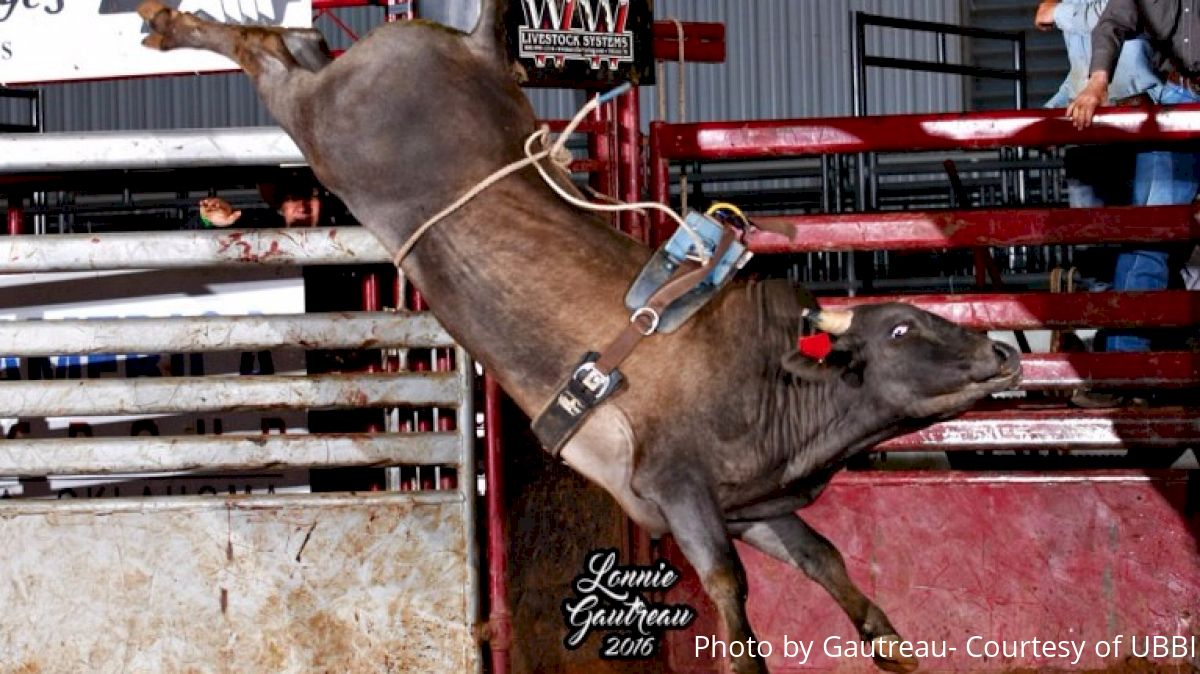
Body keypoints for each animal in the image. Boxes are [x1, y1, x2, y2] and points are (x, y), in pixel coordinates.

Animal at [136, 2, 1022, 666]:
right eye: (903, 326)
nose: (1005, 351)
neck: (777, 383)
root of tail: (476, 55)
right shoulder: (682, 493)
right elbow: (729, 590)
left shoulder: (754, 507)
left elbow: (826, 562)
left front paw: (892, 648)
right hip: (323, 122)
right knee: (264, 57)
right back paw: (169, 24)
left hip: (334, 88)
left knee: (297, 43)